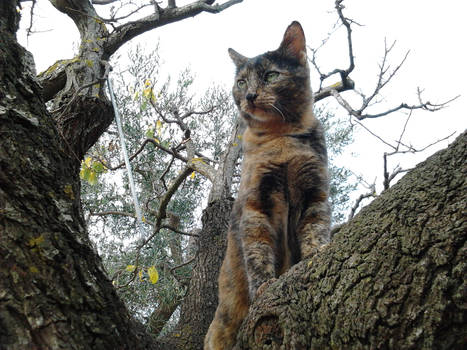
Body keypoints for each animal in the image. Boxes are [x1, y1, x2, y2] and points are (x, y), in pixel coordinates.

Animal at [206, 21, 332, 350]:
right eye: (240, 81)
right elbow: (258, 251)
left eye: (271, 76)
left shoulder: (315, 192)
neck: (281, 138)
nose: (250, 95)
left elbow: (315, 227)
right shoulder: (256, 205)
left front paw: (316, 253)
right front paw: (264, 285)